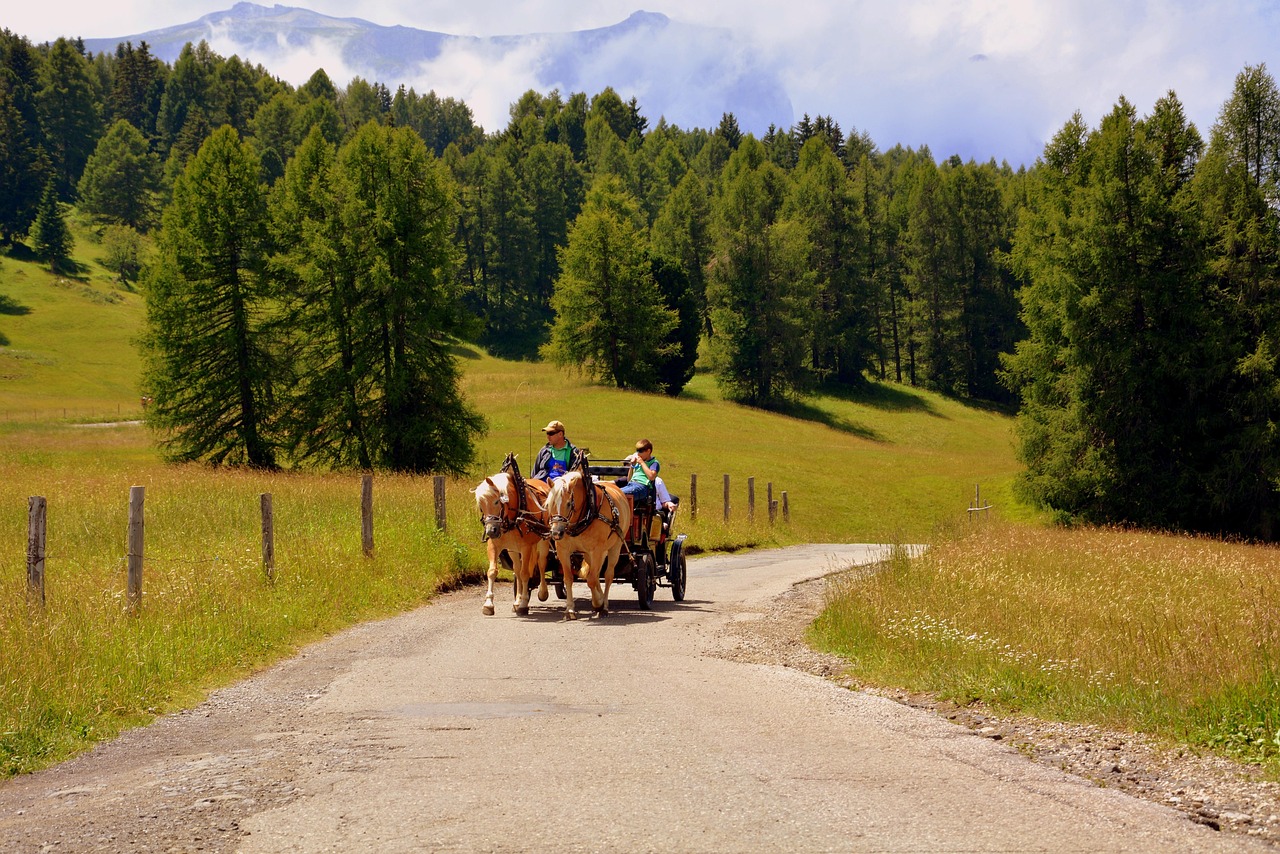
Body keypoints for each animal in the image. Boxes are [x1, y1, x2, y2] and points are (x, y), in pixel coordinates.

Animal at [471, 460, 550, 614]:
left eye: (496, 501)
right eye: (481, 505)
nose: (491, 531)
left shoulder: (526, 547)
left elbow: (526, 573)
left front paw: (524, 604)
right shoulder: (494, 545)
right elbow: (492, 572)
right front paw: (489, 604)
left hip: (543, 541)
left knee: (541, 563)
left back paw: (542, 592)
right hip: (513, 550)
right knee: (517, 570)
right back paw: (517, 600)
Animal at [547, 468, 632, 622]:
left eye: (569, 504)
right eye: (550, 504)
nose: (556, 533)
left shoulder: (597, 550)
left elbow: (592, 580)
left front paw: (598, 604)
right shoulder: (563, 551)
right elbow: (569, 578)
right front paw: (570, 609)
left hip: (614, 547)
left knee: (608, 575)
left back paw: (604, 605)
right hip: (588, 554)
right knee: (596, 573)